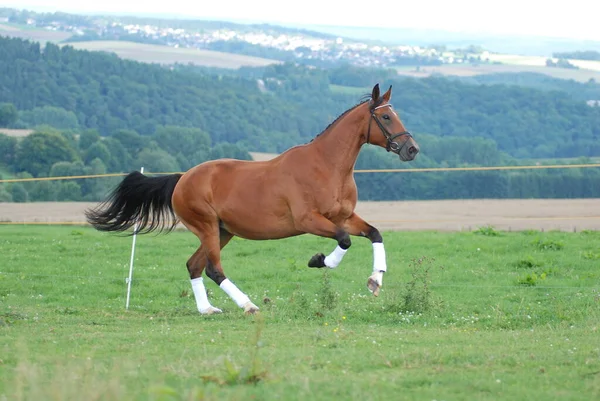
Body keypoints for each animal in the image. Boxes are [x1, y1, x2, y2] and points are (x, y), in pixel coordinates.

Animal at [86, 83, 420, 314]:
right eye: (386, 117)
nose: (412, 149)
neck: (328, 166)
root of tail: (182, 179)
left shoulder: (345, 217)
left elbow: (374, 233)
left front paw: (376, 281)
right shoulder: (309, 220)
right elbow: (344, 240)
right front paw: (319, 261)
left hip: (222, 231)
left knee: (194, 265)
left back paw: (207, 309)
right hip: (207, 226)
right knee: (213, 268)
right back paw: (248, 305)